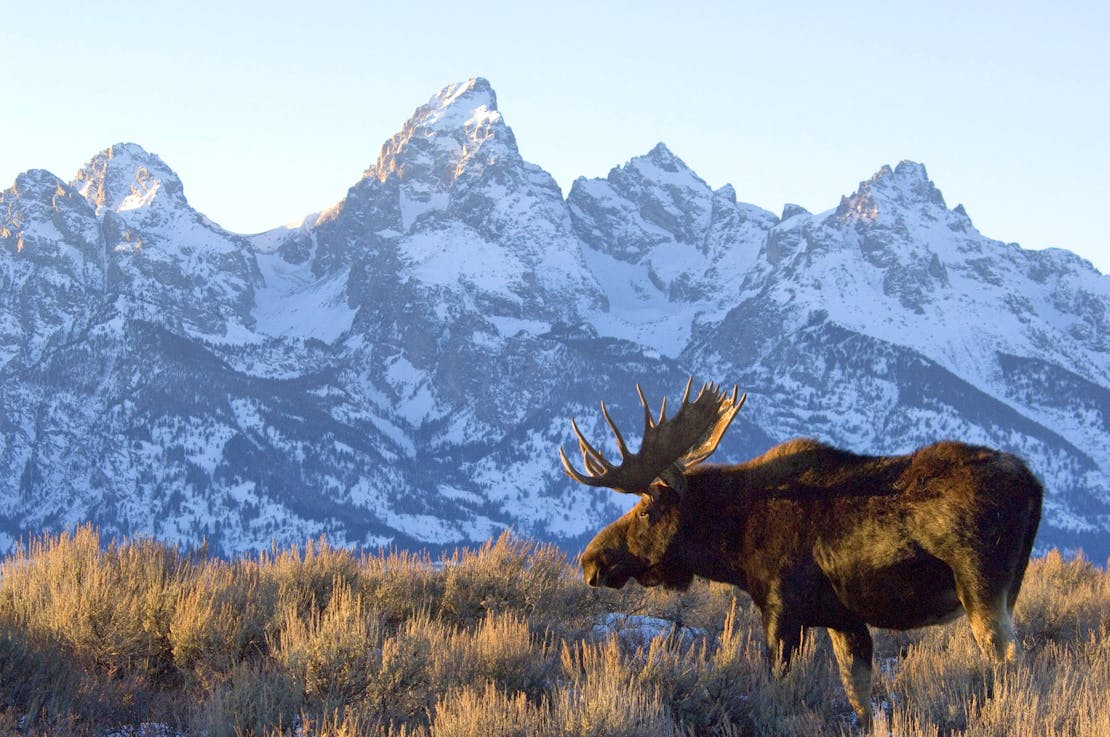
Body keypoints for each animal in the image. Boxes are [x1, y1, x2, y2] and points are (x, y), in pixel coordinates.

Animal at [559, 381, 1043, 723]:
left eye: (645, 510)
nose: (591, 561)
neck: (733, 545)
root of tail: (1034, 484)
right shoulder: (844, 620)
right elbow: (861, 702)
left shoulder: (782, 608)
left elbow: (777, 687)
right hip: (1007, 591)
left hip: (981, 589)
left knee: (1014, 665)